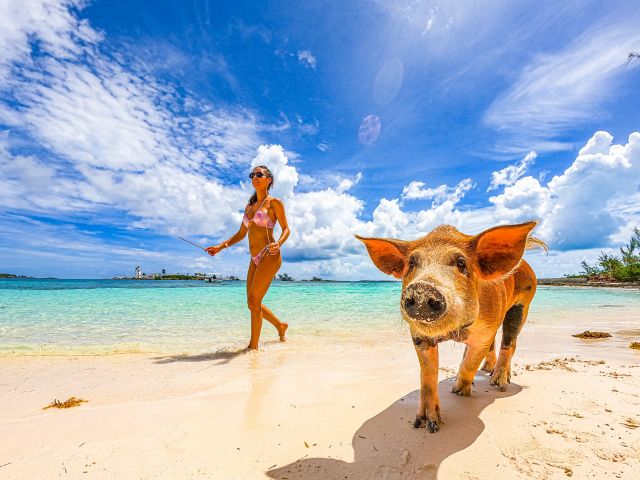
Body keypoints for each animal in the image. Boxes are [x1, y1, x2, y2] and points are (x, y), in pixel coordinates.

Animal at [356, 221, 546, 433]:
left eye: (461, 262)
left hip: (523, 303)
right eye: (412, 263)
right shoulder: (419, 335)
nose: (423, 288)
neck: (454, 331)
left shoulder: (485, 332)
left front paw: (459, 392)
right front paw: (426, 424)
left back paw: (498, 383)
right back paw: (487, 370)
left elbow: (470, 364)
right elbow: (428, 376)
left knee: (510, 341)